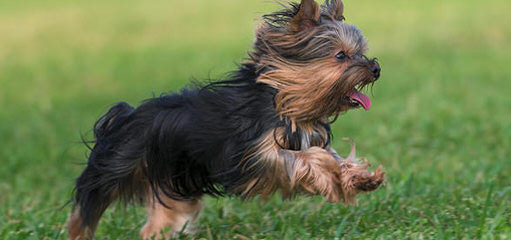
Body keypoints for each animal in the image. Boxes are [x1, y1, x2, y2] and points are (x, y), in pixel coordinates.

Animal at [67, 0, 384, 239]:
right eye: (341, 56)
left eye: (361, 53)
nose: (376, 68)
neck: (285, 101)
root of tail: (124, 116)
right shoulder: (256, 156)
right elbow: (307, 159)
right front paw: (332, 177)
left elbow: (335, 158)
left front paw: (361, 178)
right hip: (114, 167)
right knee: (87, 207)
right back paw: (78, 230)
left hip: (170, 184)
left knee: (159, 224)